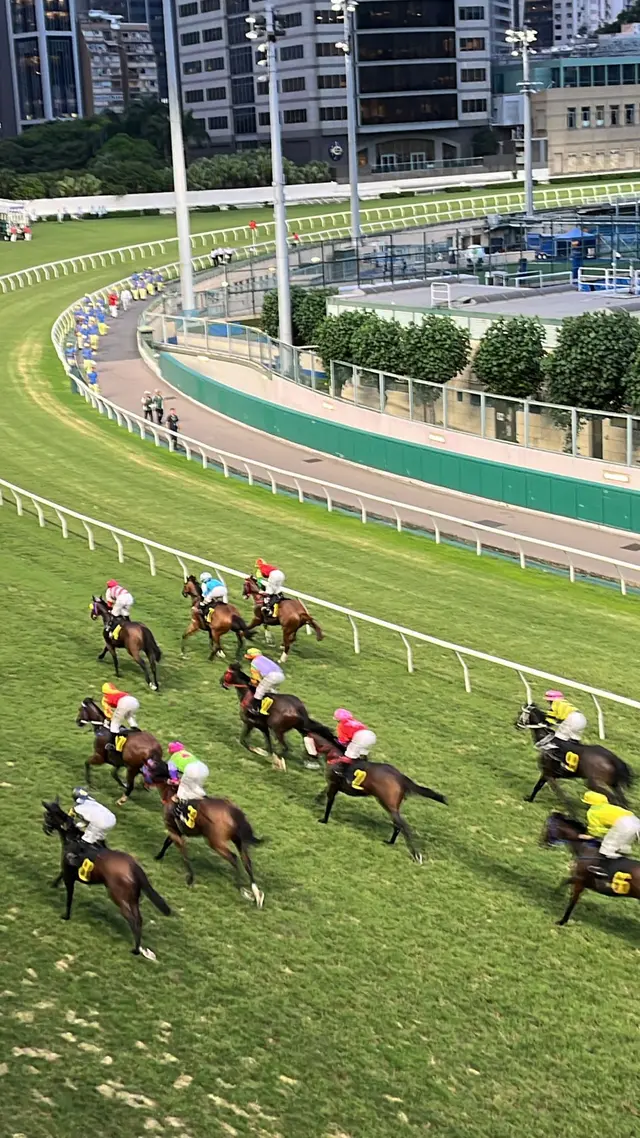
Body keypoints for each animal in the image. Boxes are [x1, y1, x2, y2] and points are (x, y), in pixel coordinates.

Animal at [42, 798, 171, 957]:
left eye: (47, 815)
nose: (45, 828)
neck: (72, 838)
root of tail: (134, 867)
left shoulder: (69, 875)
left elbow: (69, 897)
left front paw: (66, 915)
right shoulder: (68, 871)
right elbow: (60, 876)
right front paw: (53, 885)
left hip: (118, 896)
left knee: (132, 919)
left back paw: (135, 949)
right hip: (133, 898)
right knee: (139, 920)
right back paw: (137, 947)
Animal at [144, 759, 265, 906]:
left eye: (149, 768)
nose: (145, 782)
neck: (170, 793)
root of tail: (231, 809)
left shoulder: (173, 829)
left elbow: (183, 852)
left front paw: (190, 878)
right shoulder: (176, 829)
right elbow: (167, 843)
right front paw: (159, 856)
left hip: (214, 841)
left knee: (233, 857)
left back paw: (240, 885)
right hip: (238, 840)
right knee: (247, 862)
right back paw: (255, 894)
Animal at [306, 731, 448, 864]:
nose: (310, 761)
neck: (334, 754)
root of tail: (401, 778)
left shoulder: (333, 784)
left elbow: (330, 801)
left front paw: (324, 819)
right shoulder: (333, 785)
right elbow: (324, 793)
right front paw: (316, 801)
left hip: (388, 803)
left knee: (404, 826)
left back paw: (416, 855)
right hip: (389, 804)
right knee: (398, 825)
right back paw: (390, 842)